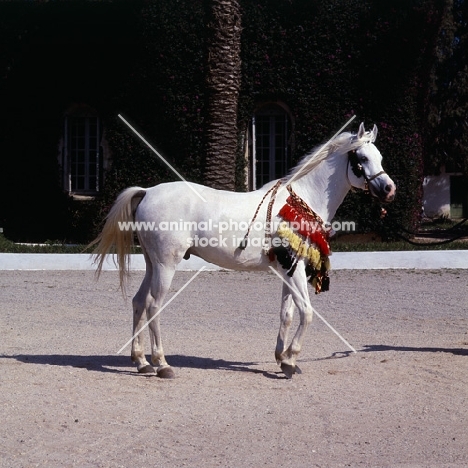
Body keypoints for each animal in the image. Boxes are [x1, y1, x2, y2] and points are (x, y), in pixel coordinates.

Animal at [91, 122, 394, 378]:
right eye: (361, 158)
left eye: (380, 156)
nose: (389, 189)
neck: (300, 201)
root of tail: (148, 192)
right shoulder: (295, 268)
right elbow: (306, 312)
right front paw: (291, 360)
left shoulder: (286, 269)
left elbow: (287, 314)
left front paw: (282, 358)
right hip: (166, 264)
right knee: (154, 305)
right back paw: (162, 364)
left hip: (151, 263)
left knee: (139, 302)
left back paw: (141, 361)